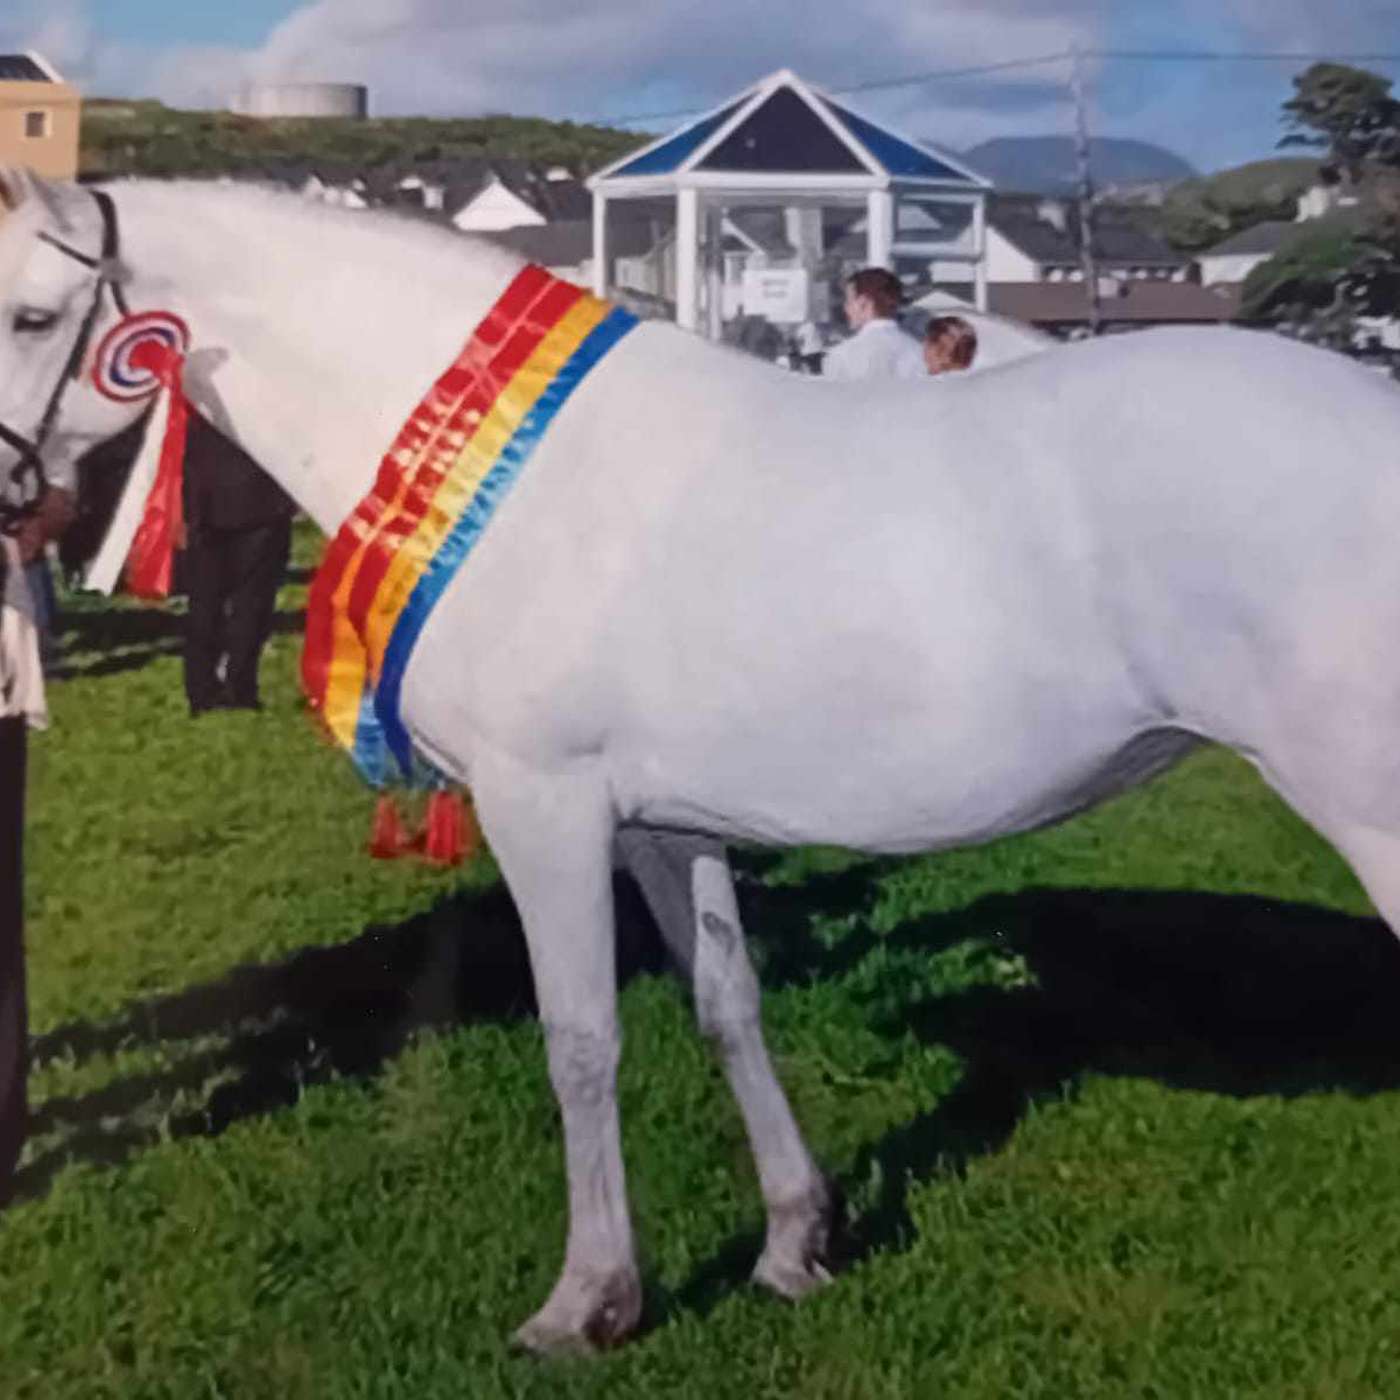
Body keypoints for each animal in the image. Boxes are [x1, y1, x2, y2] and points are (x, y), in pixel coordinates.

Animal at [2, 169, 1400, 1349]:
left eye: (29, 314)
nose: (14, 503)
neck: (507, 476)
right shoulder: (664, 822)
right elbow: (725, 1001)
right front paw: (793, 1238)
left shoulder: (544, 802)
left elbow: (580, 1039)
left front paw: (588, 1300)